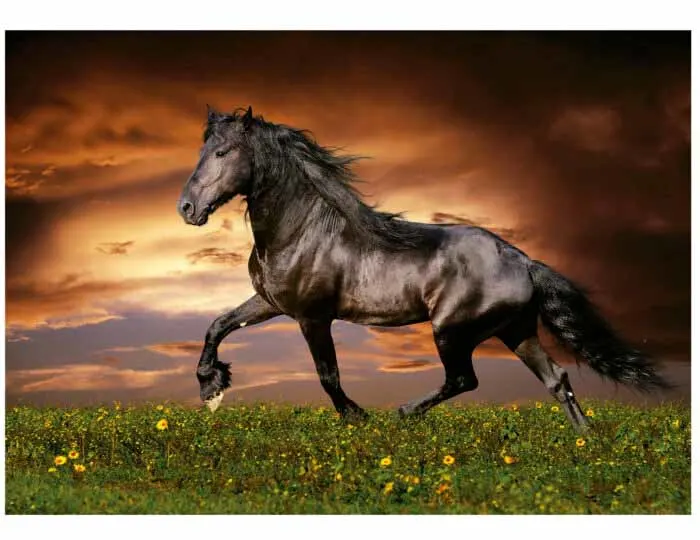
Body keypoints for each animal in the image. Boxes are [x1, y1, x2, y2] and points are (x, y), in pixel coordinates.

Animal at [177, 105, 668, 432]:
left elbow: (328, 375)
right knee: (556, 378)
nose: (187, 208)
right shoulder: (271, 302)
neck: (301, 230)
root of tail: (524, 261)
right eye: (203, 150)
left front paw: (358, 417)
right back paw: (584, 439)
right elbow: (218, 325)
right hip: (516, 331)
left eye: (222, 152)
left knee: (464, 379)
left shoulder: (312, 316)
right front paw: (211, 387)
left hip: (452, 330)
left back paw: (404, 412)